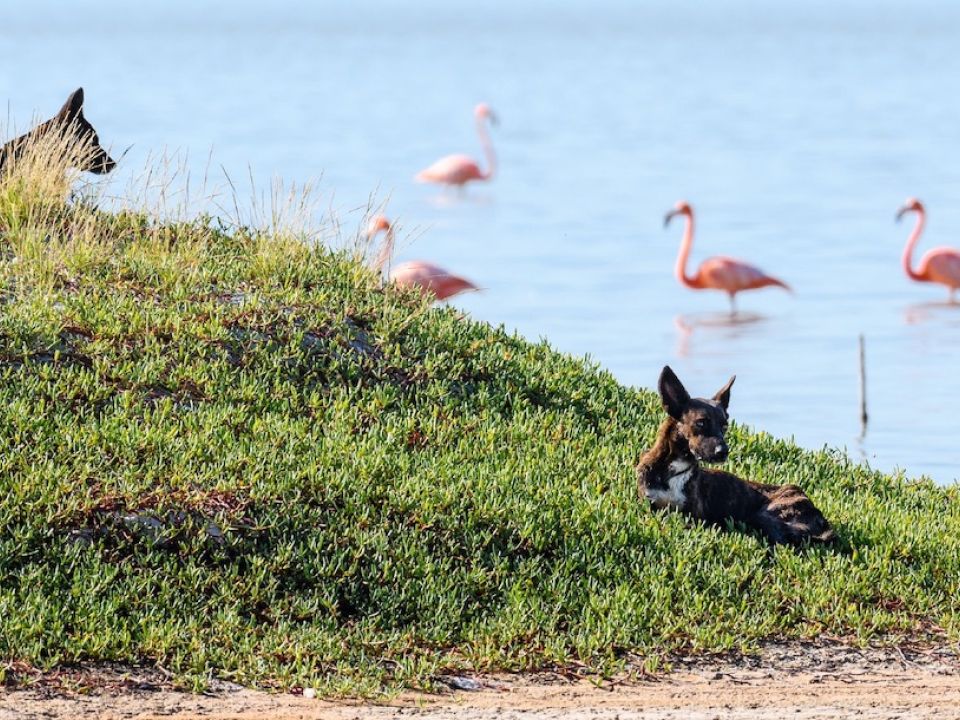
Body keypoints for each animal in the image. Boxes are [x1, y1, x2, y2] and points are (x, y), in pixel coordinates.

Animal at [636, 366, 832, 544]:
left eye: (724, 426)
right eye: (701, 423)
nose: (723, 451)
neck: (673, 470)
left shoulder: (693, 516)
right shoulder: (648, 503)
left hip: (765, 514)